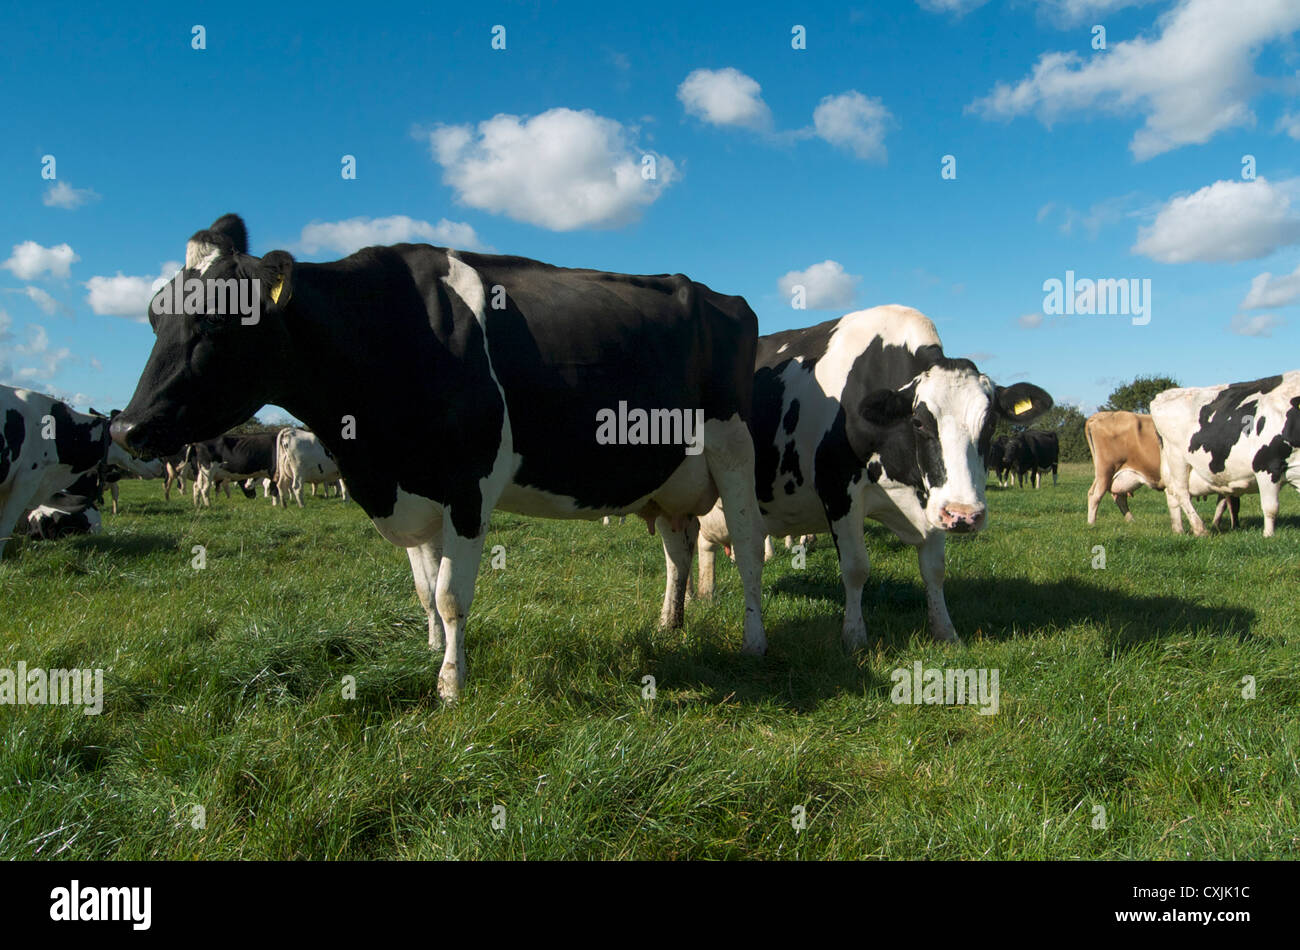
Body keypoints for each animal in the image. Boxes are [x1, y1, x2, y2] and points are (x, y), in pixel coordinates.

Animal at [110, 213, 768, 704]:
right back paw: (669, 625)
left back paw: (754, 642)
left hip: (735, 451)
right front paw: (431, 649)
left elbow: (452, 595)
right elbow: (426, 591)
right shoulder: (413, 487)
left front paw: (451, 683)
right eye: (154, 313)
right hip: (668, 481)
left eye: (217, 317)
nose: (126, 426)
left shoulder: (466, 486)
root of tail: (720, 297)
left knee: (749, 547)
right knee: (678, 549)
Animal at [688, 305, 1052, 647]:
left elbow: (934, 569)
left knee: (702, 543)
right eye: (919, 422)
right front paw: (854, 636)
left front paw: (946, 632)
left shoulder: (931, 496)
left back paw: (704, 594)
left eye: (990, 424)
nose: (963, 515)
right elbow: (856, 568)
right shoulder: (838, 490)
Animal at [1084, 410, 1238, 527]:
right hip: (1106, 470)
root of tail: (1102, 415)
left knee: (1117, 496)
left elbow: (1223, 504)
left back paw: (1131, 520)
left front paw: (1218, 525)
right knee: (1095, 495)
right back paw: (1092, 524)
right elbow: (1230, 505)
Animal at [1151, 372, 1300, 537]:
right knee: (1181, 492)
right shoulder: (1265, 465)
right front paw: (1268, 535)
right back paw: (1200, 529)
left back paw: (1178, 530)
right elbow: (1271, 508)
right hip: (1177, 457)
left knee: (1170, 493)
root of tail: (1165, 394)